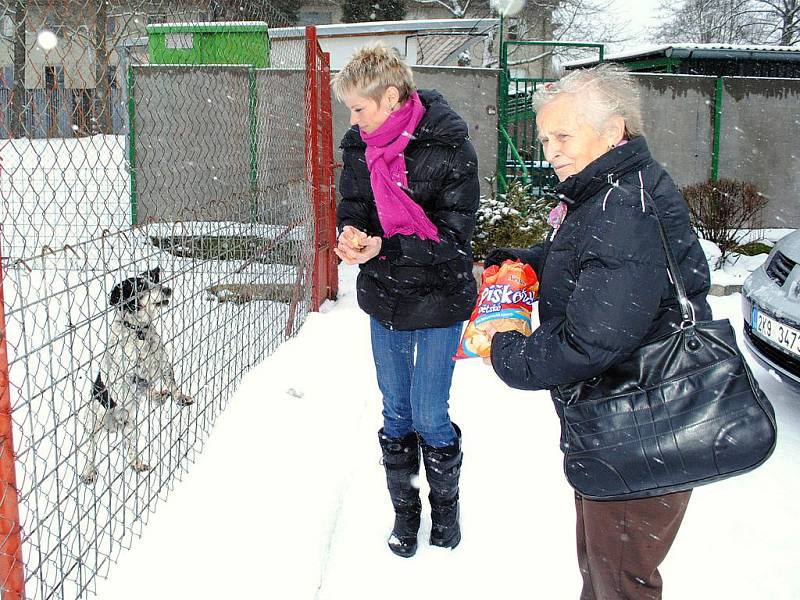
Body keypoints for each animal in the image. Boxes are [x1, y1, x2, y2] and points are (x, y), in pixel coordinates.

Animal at [82, 268, 193, 482]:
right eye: (140, 287)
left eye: (153, 280)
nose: (167, 290)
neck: (140, 331)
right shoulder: (128, 375)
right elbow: (140, 382)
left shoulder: (163, 364)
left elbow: (172, 383)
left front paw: (180, 397)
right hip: (96, 423)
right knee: (91, 450)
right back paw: (88, 471)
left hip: (129, 424)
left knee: (130, 446)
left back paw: (137, 463)